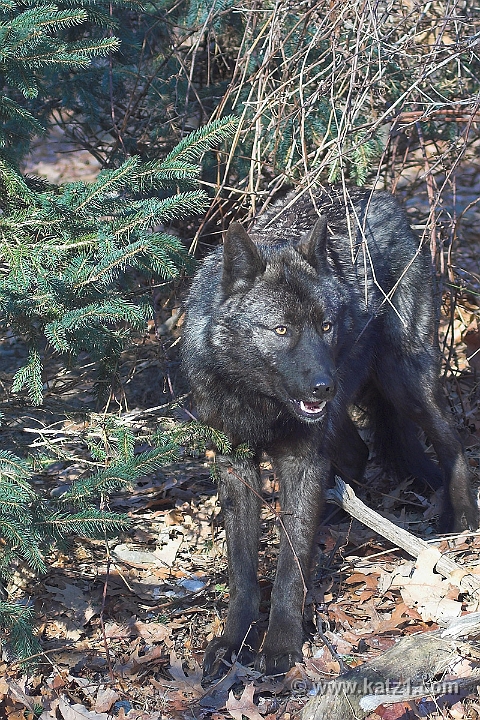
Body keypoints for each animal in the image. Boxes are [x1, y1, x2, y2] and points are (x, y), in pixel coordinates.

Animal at [182, 187, 478, 680]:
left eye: (325, 325)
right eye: (281, 329)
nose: (326, 385)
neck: (259, 402)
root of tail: (383, 198)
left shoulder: (302, 460)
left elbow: (290, 565)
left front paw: (282, 645)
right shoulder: (235, 464)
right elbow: (242, 571)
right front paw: (231, 641)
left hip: (405, 385)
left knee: (451, 444)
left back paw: (460, 520)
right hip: (348, 418)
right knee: (358, 455)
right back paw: (340, 518)